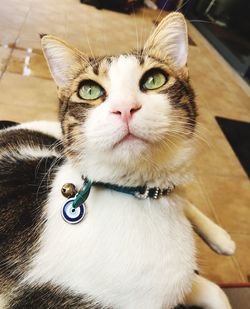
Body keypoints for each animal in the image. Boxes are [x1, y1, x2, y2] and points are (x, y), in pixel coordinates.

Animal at [0, 12, 234, 308]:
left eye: (154, 79)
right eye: (88, 90)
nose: (125, 108)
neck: (145, 197)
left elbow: (215, 291)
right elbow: (209, 288)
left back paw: (222, 239)